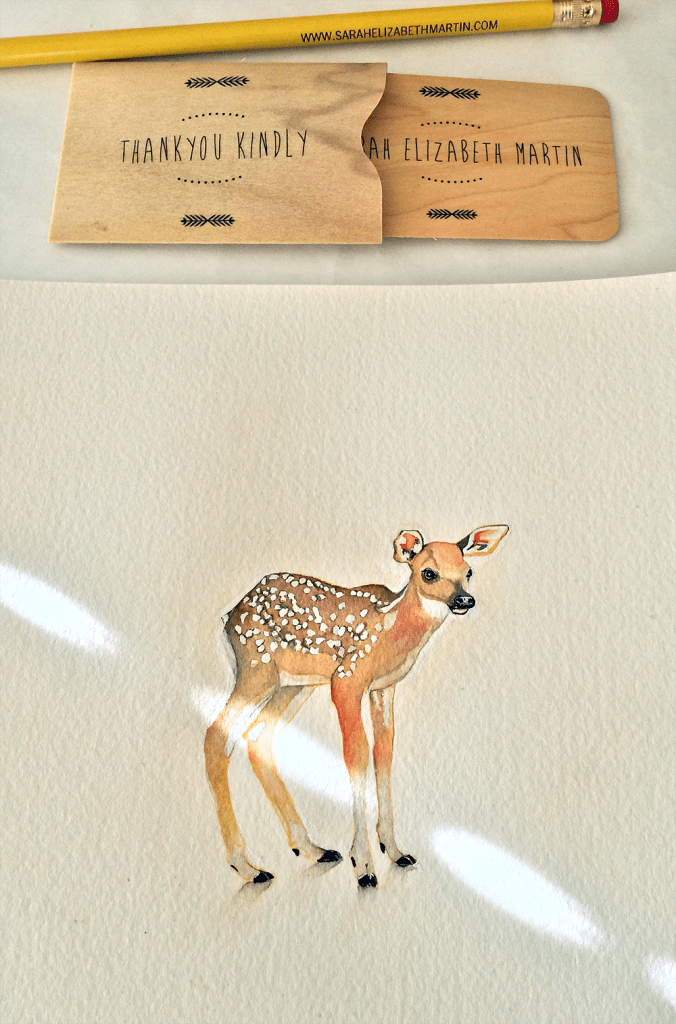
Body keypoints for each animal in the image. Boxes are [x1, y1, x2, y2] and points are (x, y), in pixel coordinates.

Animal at [204, 525, 508, 888]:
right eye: (428, 572)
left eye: (469, 570)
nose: (464, 600)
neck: (391, 630)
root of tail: (229, 615)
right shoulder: (347, 680)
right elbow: (356, 756)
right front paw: (363, 867)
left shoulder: (384, 687)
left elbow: (383, 753)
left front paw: (396, 852)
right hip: (256, 667)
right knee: (217, 735)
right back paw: (249, 868)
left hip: (294, 684)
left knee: (259, 735)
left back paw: (313, 849)